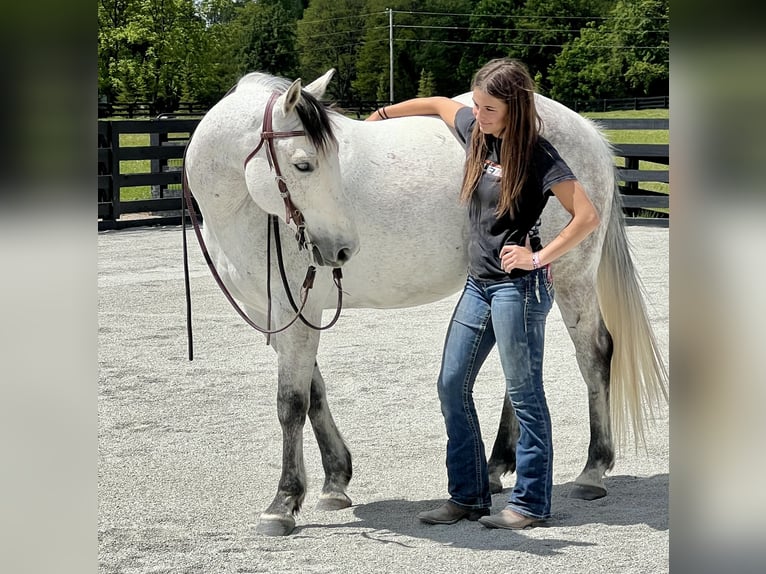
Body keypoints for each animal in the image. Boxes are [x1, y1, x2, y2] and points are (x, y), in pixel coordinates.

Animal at [182, 69, 668, 536]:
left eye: (317, 163)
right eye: (304, 165)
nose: (342, 248)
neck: (247, 208)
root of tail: (585, 129)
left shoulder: (296, 314)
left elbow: (292, 404)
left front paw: (283, 504)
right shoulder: (283, 315)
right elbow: (315, 395)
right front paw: (335, 482)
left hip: (571, 275)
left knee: (595, 353)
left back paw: (592, 471)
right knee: (522, 370)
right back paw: (496, 466)